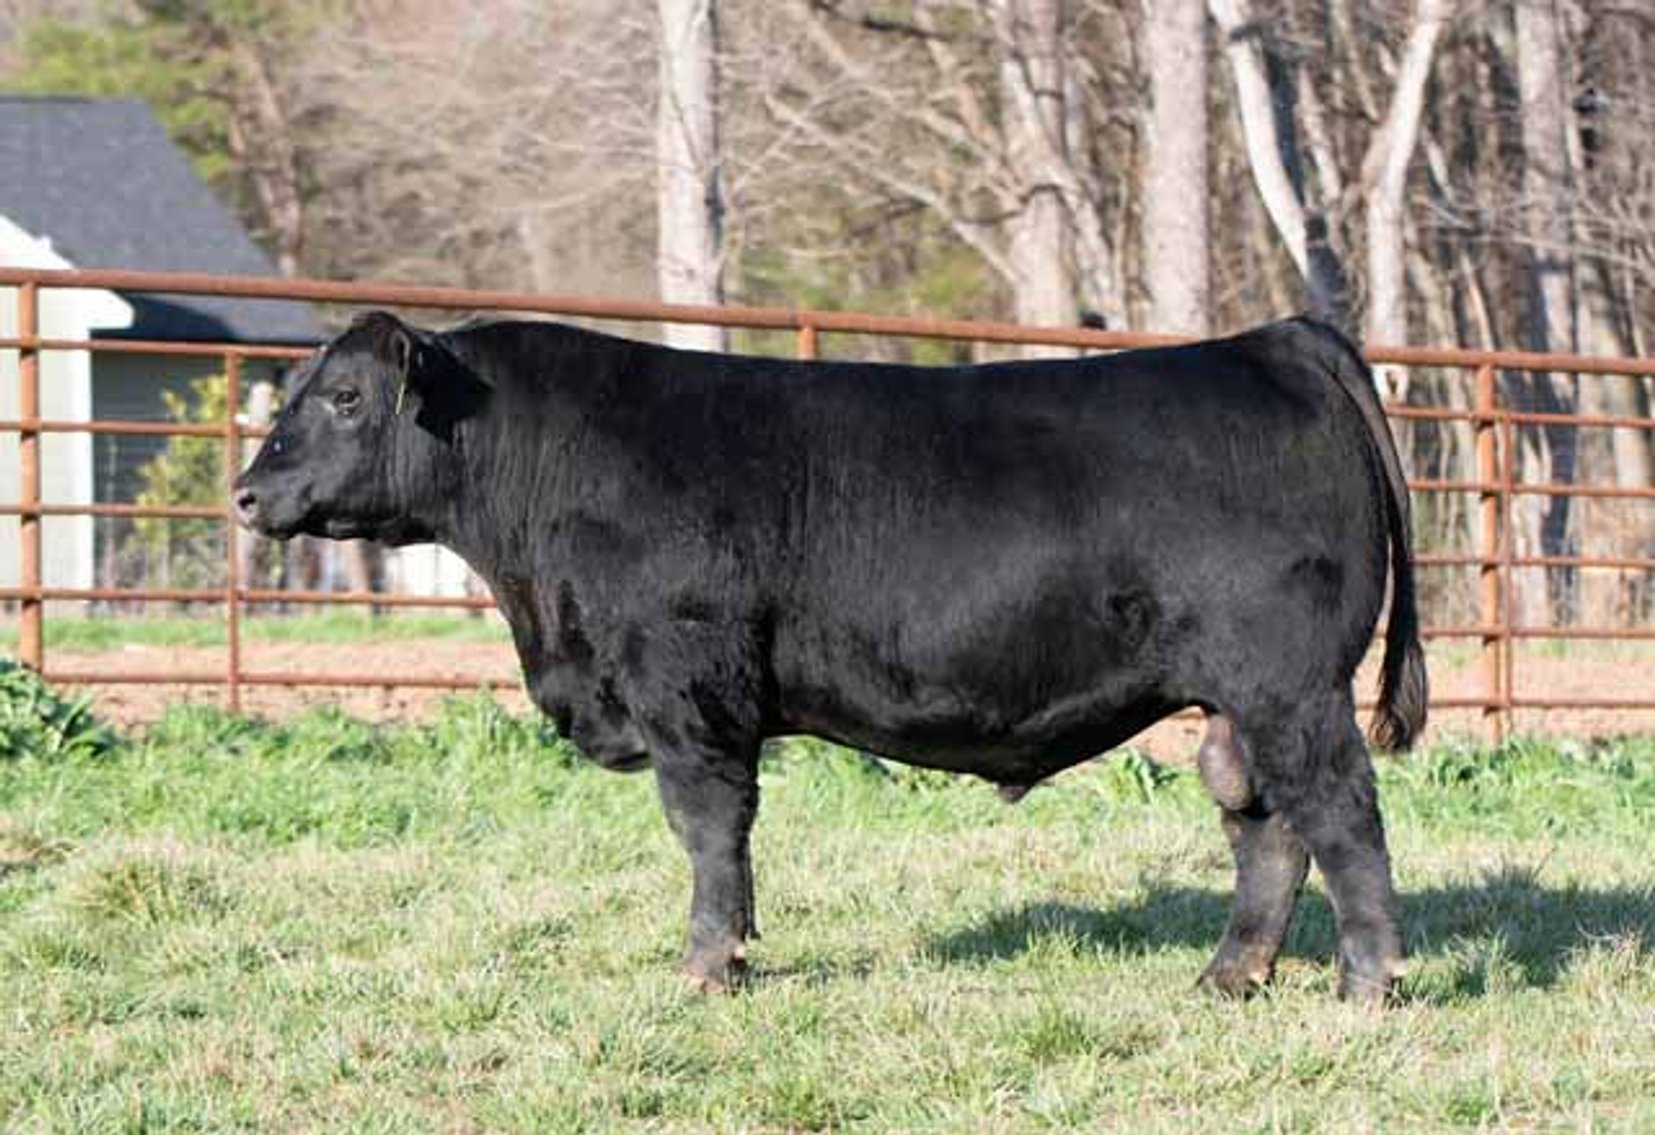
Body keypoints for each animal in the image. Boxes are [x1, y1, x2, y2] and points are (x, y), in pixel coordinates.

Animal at [233, 312, 1427, 1001]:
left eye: (344, 397)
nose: (247, 493)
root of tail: (1271, 337)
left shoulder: (684, 681)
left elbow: (708, 828)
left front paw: (708, 967)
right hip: (1237, 702)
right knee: (1262, 824)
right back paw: (1228, 977)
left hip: (1288, 685)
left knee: (1339, 811)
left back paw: (1365, 984)